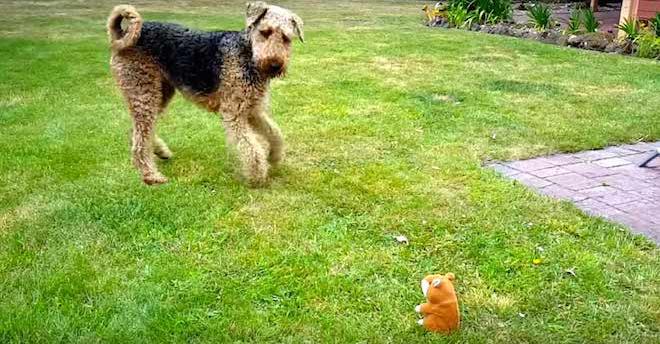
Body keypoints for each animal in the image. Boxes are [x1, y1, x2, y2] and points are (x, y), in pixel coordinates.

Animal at [107, 2, 302, 185]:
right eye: (265, 32)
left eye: (286, 38)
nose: (274, 65)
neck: (247, 54)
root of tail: (122, 33)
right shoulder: (234, 113)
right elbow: (250, 147)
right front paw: (257, 176)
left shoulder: (253, 111)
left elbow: (275, 133)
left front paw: (274, 157)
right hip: (144, 93)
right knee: (139, 142)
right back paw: (151, 176)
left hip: (159, 94)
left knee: (136, 132)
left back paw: (161, 152)